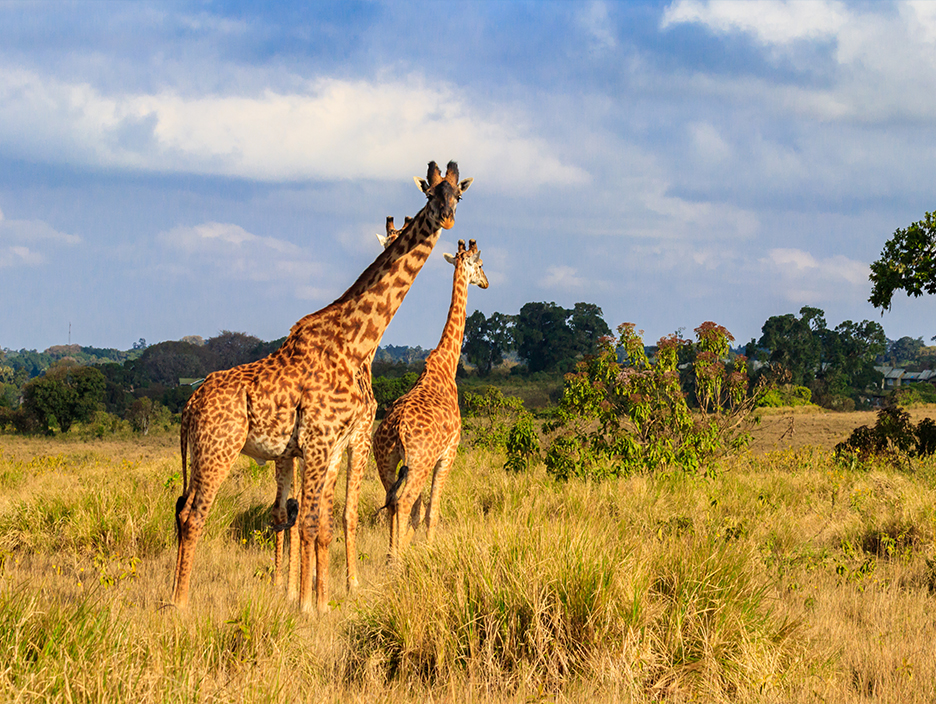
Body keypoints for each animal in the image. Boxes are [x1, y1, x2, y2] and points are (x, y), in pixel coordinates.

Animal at [173, 162, 472, 612]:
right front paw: (309, 606)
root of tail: (190, 405)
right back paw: (178, 605)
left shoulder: (332, 445)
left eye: (459, 194)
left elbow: (323, 523)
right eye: (429, 192)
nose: (448, 217)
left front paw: (322, 601)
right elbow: (312, 522)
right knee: (195, 515)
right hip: (218, 448)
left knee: (182, 510)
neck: (357, 342)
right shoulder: (318, 439)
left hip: (201, 452)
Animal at [372, 239, 490, 560]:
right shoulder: (448, 453)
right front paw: (430, 550)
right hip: (420, 461)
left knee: (391, 501)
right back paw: (397, 560)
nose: (486, 283)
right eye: (480, 265)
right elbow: (431, 511)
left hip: (385, 459)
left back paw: (391, 555)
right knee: (403, 502)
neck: (447, 364)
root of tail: (397, 427)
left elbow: (419, 510)